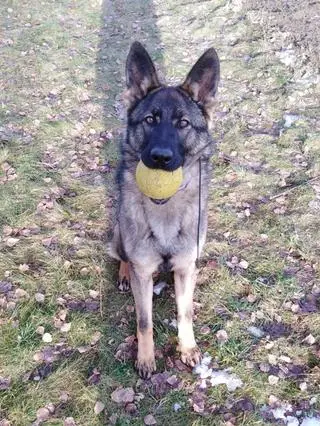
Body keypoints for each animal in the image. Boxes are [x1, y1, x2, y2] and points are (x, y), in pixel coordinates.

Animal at [109, 41, 219, 378]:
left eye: (183, 123)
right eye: (150, 120)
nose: (160, 158)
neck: (166, 211)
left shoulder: (185, 268)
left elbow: (185, 313)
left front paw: (187, 348)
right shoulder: (144, 272)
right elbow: (144, 321)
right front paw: (146, 359)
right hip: (118, 233)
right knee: (123, 257)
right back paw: (123, 272)